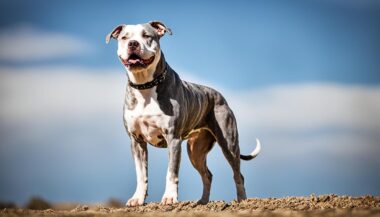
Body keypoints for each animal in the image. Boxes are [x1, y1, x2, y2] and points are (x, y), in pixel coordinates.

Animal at [107, 21, 262, 206]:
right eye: (125, 37)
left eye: (147, 36)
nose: (133, 44)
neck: (145, 86)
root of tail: (219, 95)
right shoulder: (136, 141)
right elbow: (141, 174)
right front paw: (137, 198)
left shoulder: (173, 139)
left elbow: (171, 172)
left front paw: (169, 198)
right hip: (195, 150)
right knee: (207, 175)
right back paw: (202, 202)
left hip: (229, 144)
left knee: (238, 174)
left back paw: (242, 201)